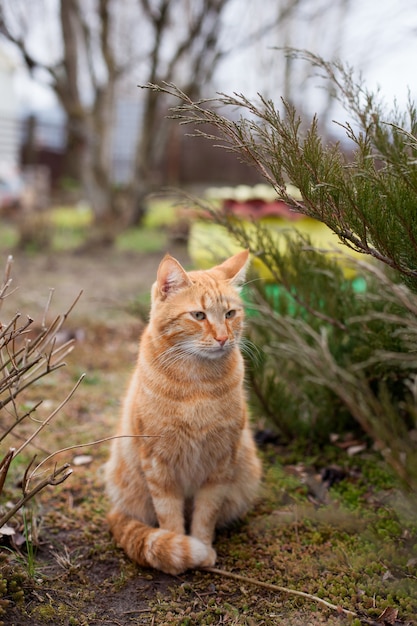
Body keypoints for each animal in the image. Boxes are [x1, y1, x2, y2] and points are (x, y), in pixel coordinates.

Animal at [104, 250, 260, 576]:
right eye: (199, 316)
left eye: (230, 314)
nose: (223, 338)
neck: (196, 383)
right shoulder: (158, 464)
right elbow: (170, 516)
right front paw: (177, 549)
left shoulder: (221, 462)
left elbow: (206, 514)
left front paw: (202, 548)